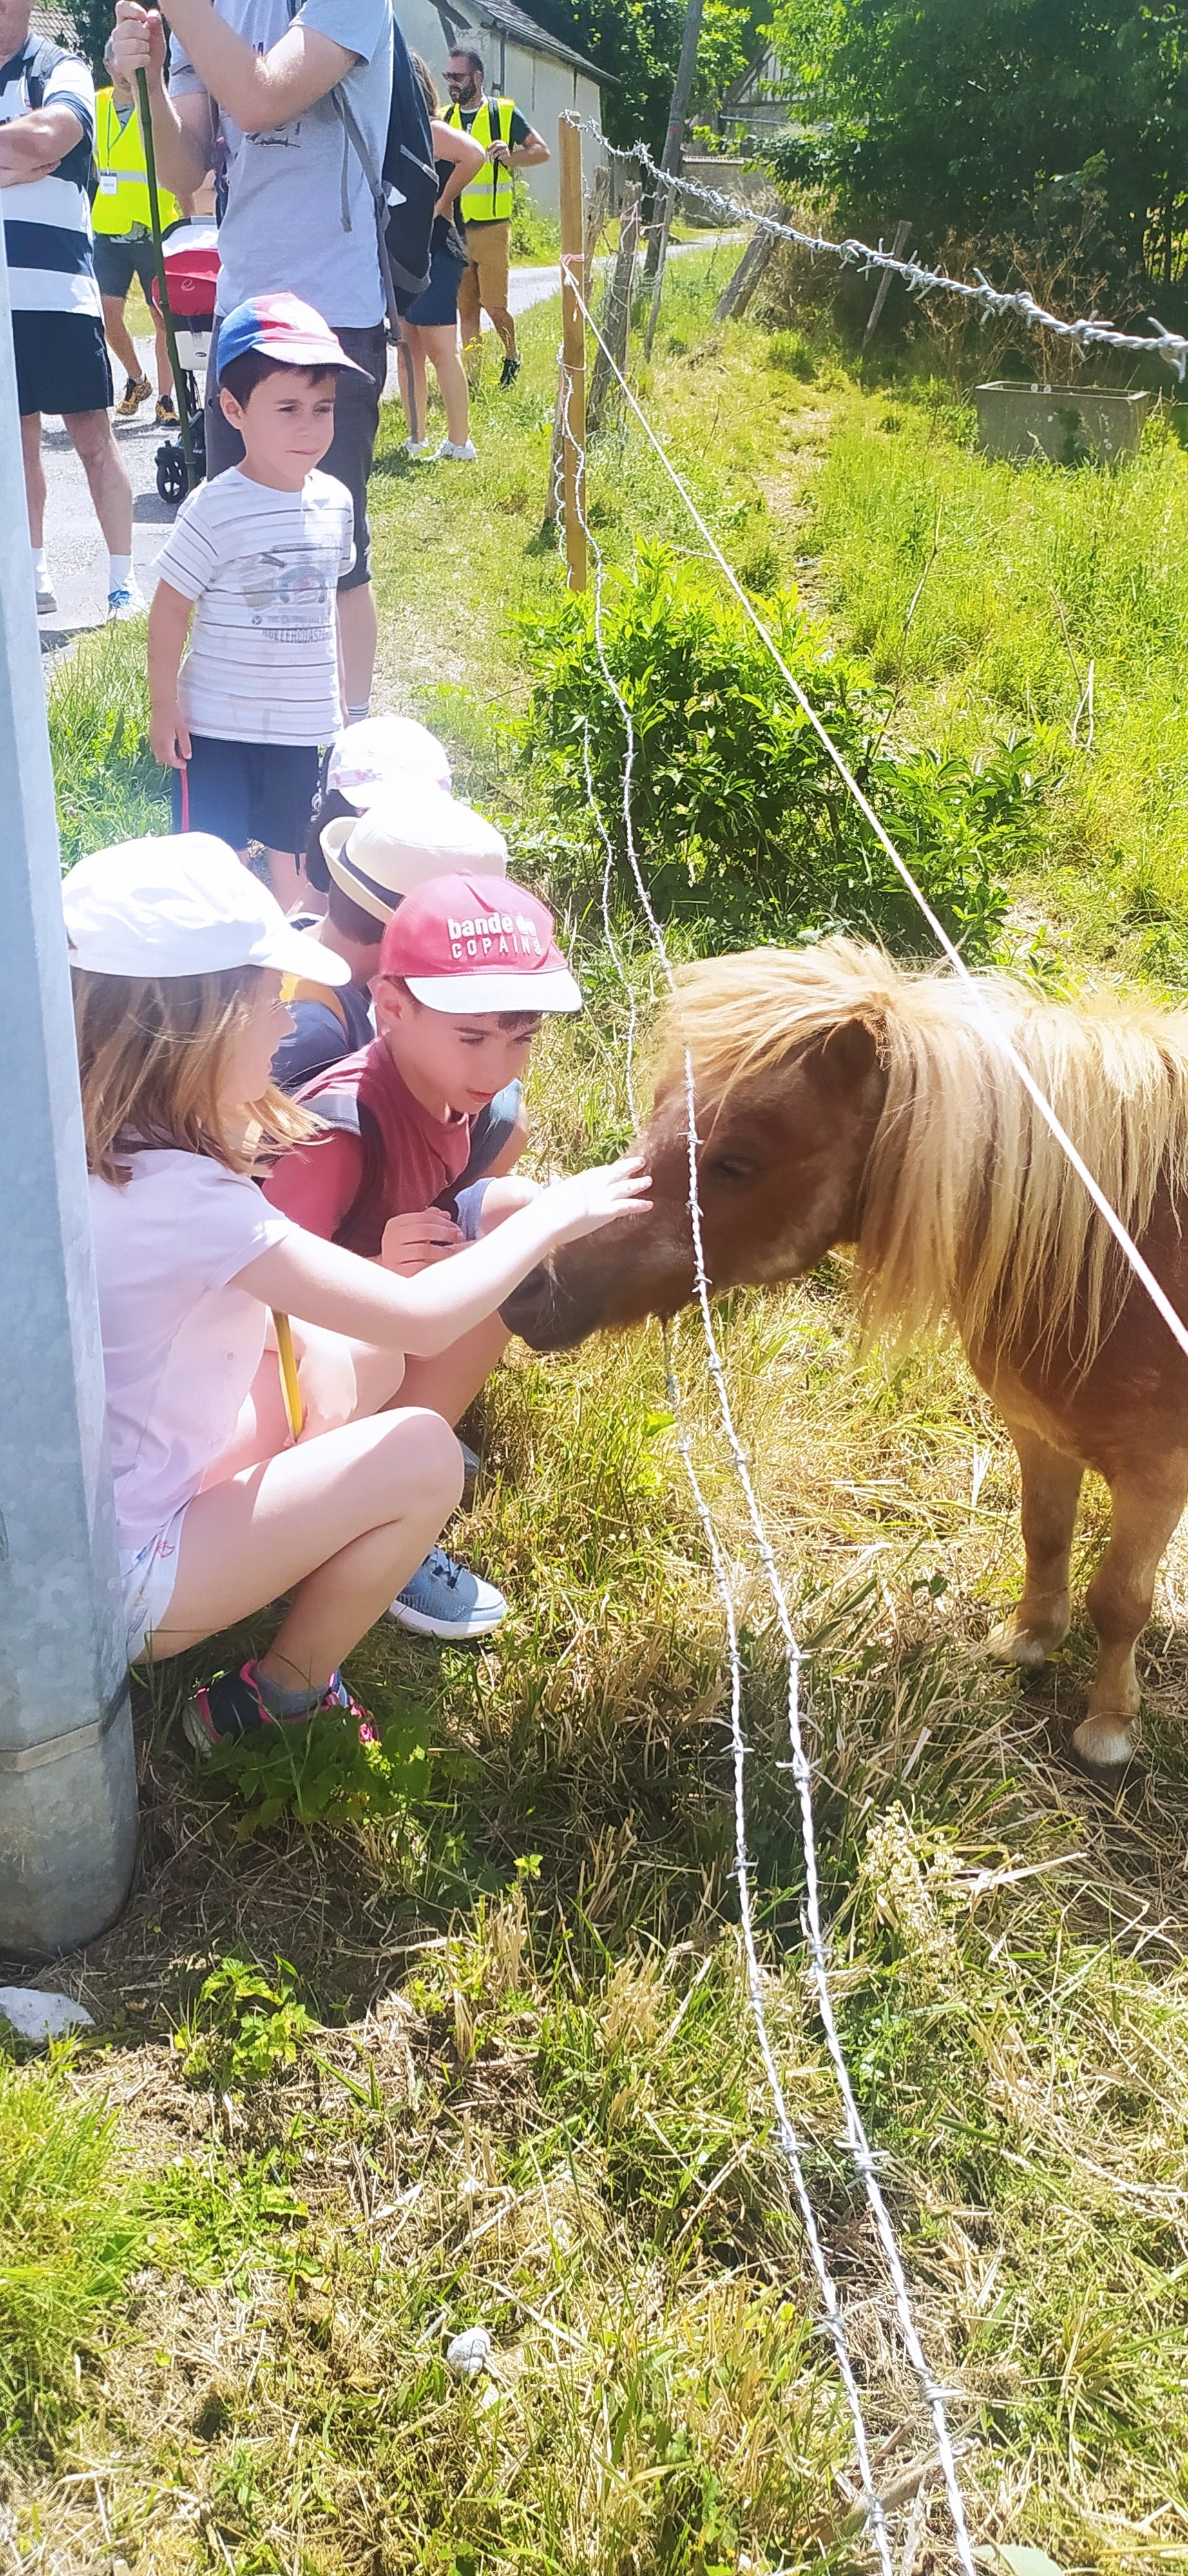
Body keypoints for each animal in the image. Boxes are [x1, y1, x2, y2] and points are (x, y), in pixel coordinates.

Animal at [508, 943, 1188, 1772]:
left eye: (735, 1162)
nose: (529, 1285)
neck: (1124, 1257)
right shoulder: (1039, 1432)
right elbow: (1044, 1533)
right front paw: (1028, 1640)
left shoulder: (1156, 1473)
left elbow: (1120, 1598)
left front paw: (1108, 1727)